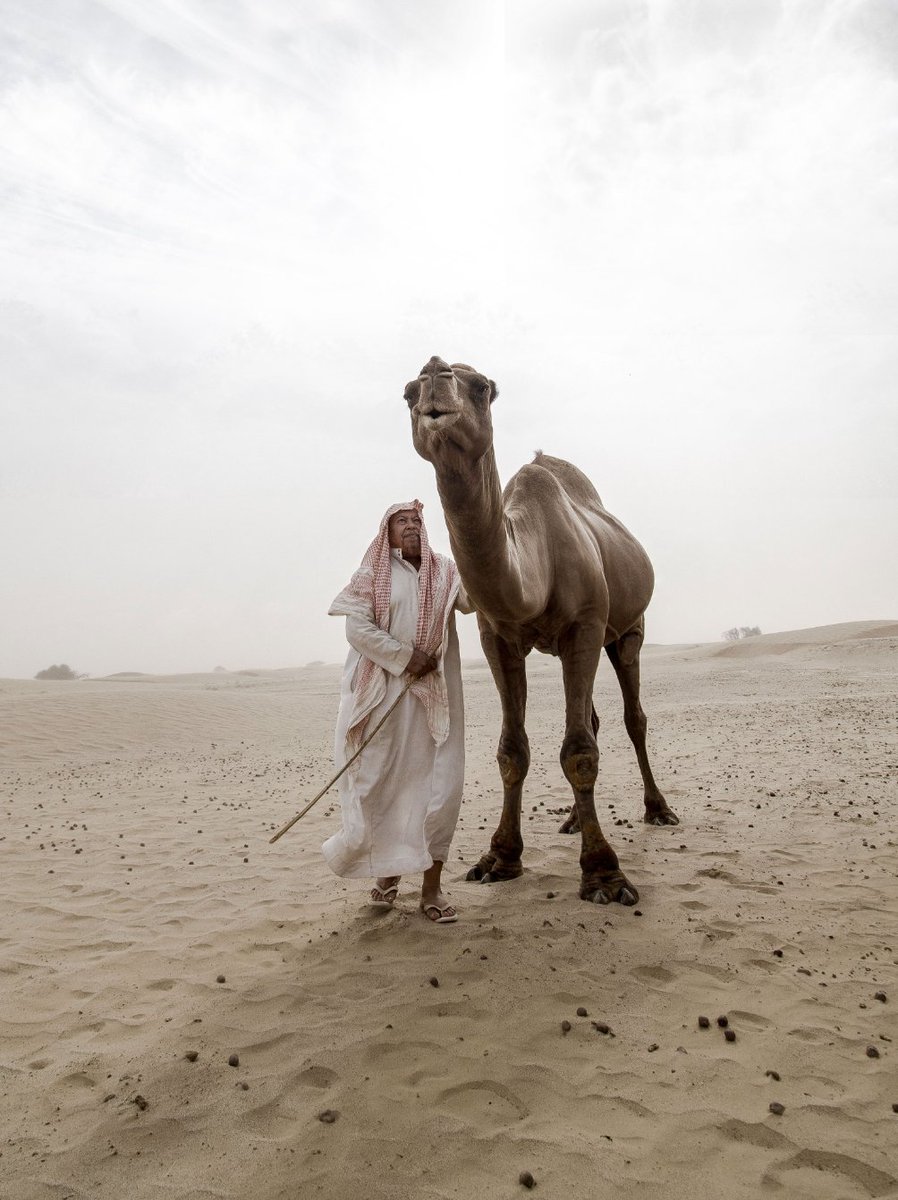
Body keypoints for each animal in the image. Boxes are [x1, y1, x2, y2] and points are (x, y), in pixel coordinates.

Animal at [405, 356, 678, 905]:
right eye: (406, 394)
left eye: (481, 387)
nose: (434, 375)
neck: (537, 561)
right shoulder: (498, 636)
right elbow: (513, 749)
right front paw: (499, 859)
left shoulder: (586, 626)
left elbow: (579, 752)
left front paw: (605, 875)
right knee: (592, 718)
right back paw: (572, 819)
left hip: (626, 630)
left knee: (633, 717)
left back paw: (658, 809)